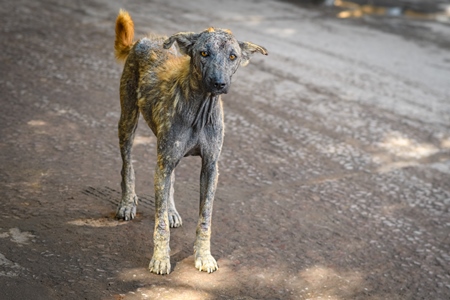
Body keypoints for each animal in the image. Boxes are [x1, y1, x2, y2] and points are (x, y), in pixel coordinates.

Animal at [113, 9, 268, 274]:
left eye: (233, 56)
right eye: (204, 53)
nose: (219, 83)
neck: (200, 109)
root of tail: (144, 40)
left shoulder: (210, 168)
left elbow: (205, 220)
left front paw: (203, 256)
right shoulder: (163, 162)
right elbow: (160, 224)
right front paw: (161, 258)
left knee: (170, 181)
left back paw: (172, 210)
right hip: (128, 121)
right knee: (127, 165)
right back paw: (127, 202)